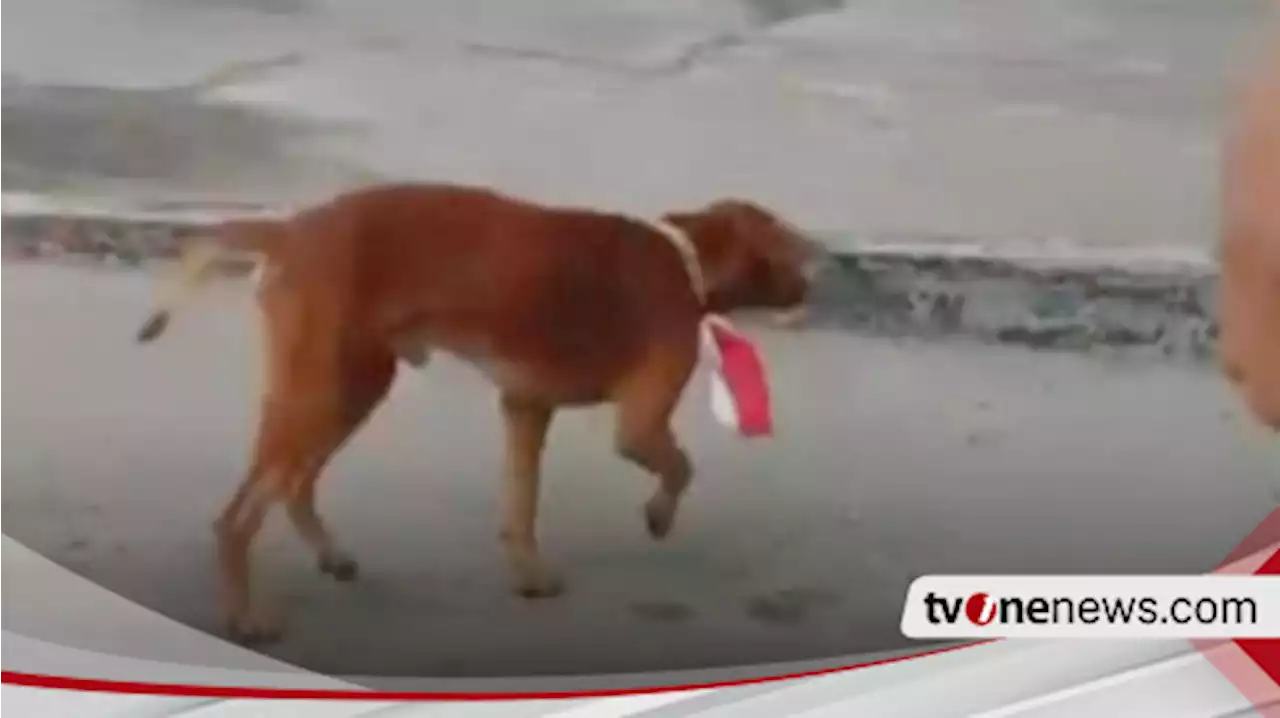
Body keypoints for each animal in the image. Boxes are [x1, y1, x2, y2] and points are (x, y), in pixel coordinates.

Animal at [135, 181, 824, 639]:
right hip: (328, 389)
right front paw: (657, 516)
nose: (814, 283)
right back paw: (244, 615)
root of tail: (293, 228)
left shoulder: (525, 408)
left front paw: (529, 574)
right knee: (239, 516)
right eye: (793, 250)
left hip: (349, 389)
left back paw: (330, 555)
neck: (686, 258)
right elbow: (679, 467)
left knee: (295, 483)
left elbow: (521, 504)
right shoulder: (640, 423)